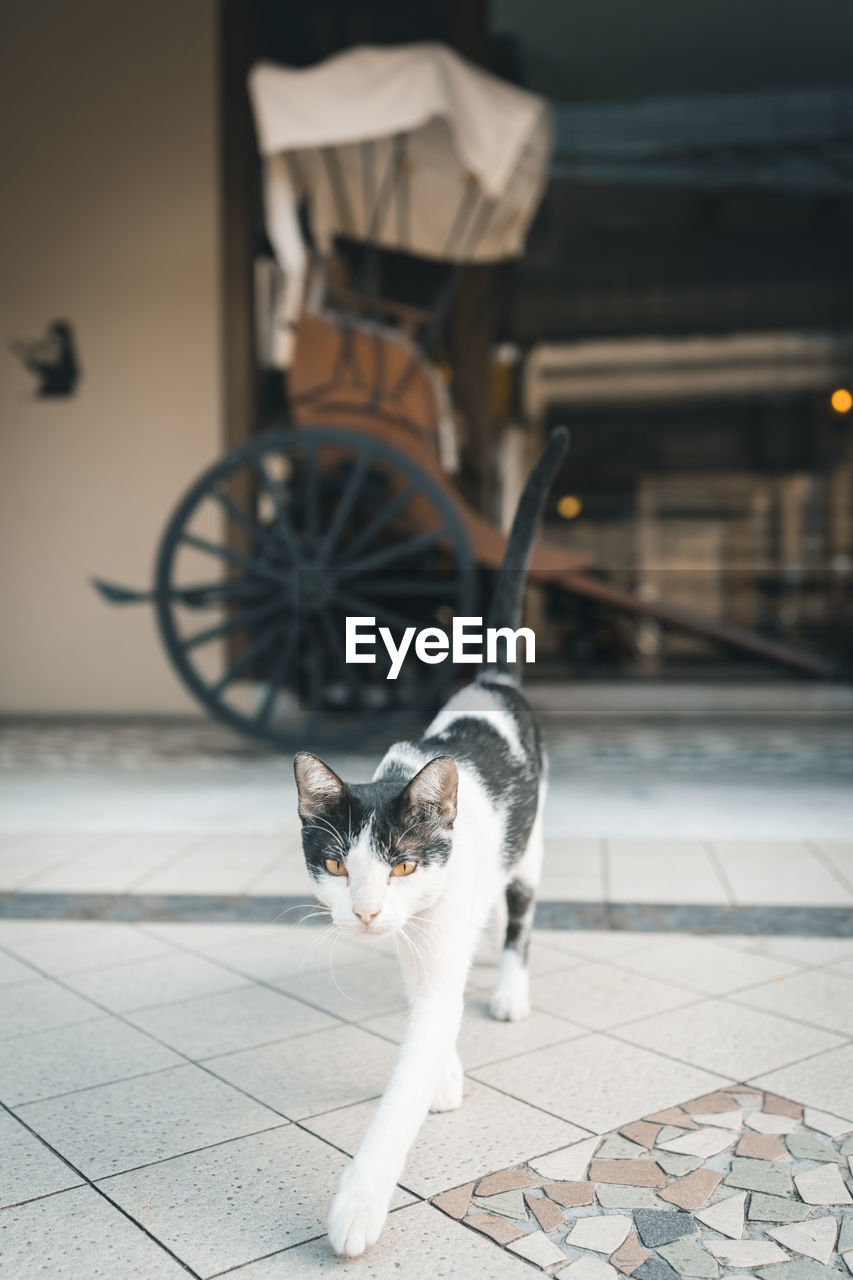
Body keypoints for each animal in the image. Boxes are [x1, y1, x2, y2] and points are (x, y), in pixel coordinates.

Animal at [290, 427, 563, 1249]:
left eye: (404, 866)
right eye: (336, 864)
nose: (367, 912)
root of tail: (492, 679)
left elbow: (406, 1082)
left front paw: (357, 1204)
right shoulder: (414, 943)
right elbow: (428, 1008)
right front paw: (444, 1070)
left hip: (530, 847)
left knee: (520, 917)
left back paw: (508, 987)